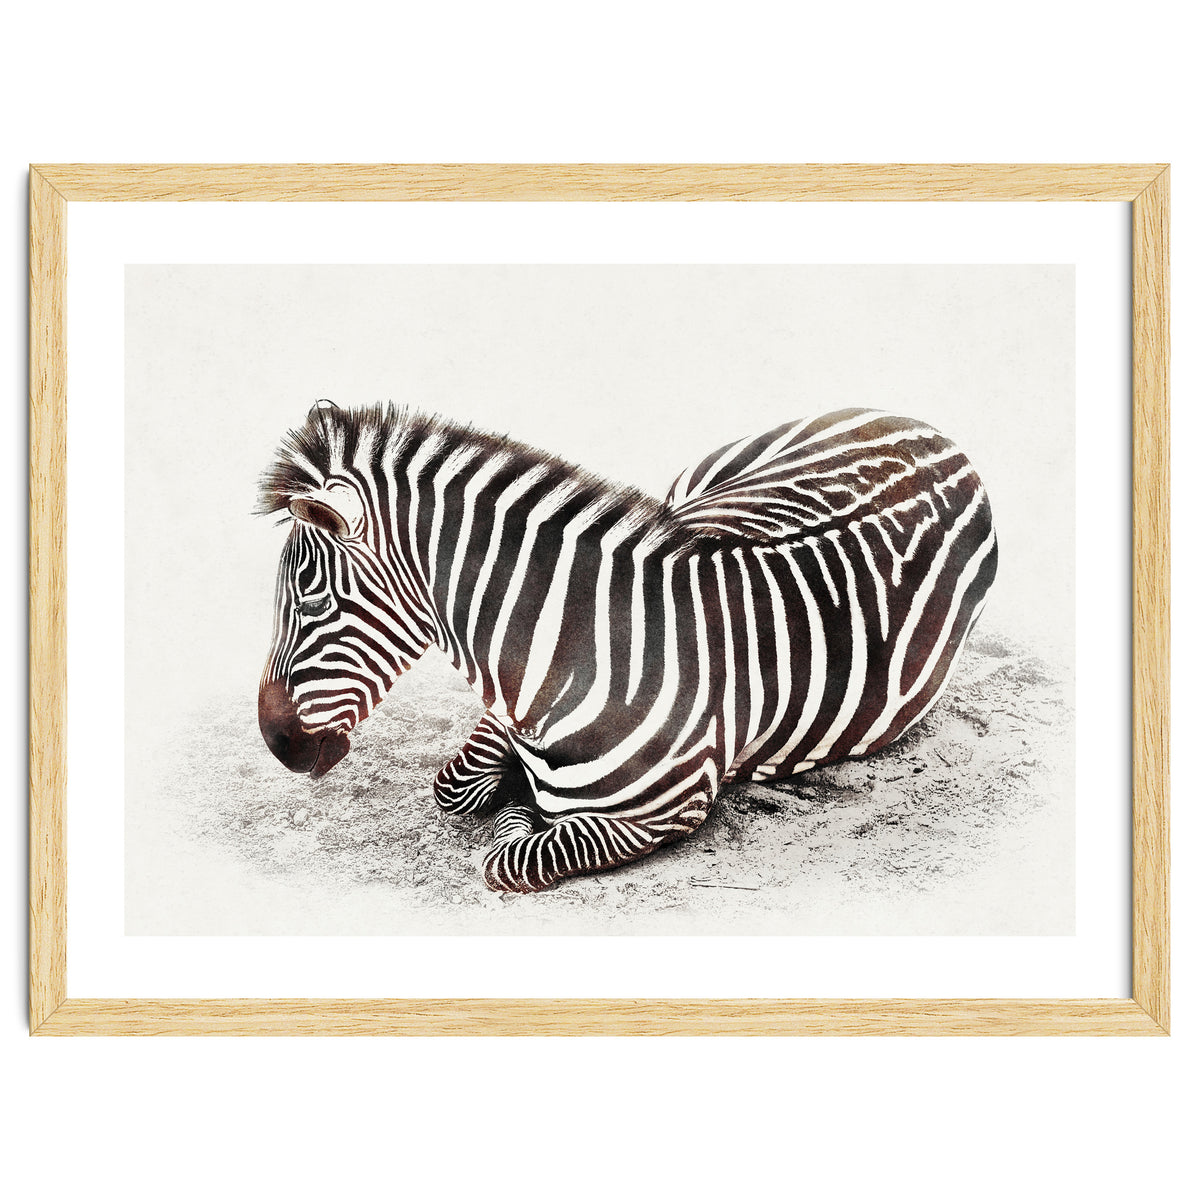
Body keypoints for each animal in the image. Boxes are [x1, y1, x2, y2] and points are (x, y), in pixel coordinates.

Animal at [258, 400, 998, 893]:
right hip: (694, 488)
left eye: (313, 601)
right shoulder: (504, 710)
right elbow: (456, 786)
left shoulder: (666, 812)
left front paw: (520, 806)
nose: (277, 744)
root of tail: (941, 435)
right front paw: (511, 789)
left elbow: (511, 855)